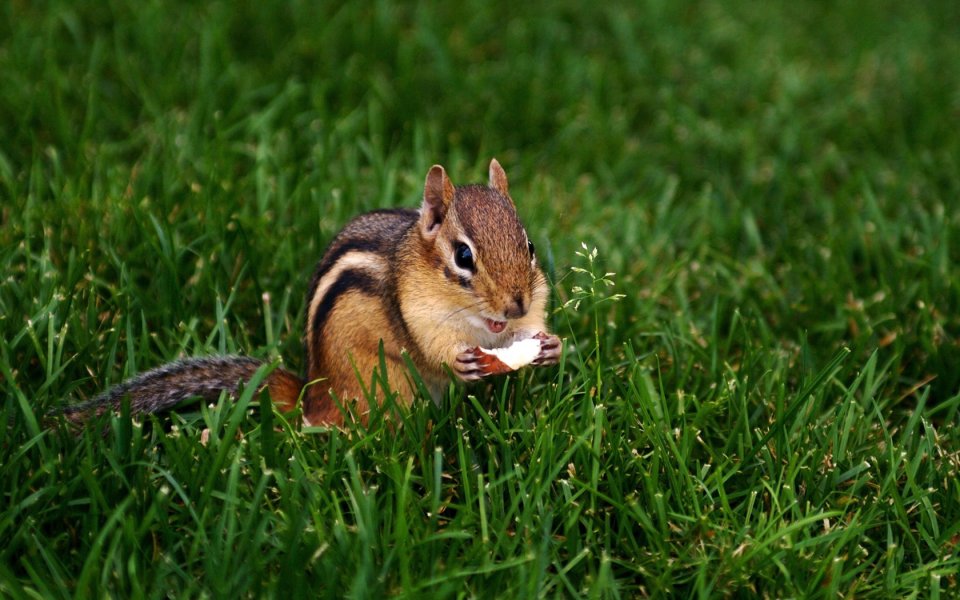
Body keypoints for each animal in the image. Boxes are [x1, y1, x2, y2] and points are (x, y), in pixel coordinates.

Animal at [63, 159, 561, 426]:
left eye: (530, 247)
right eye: (462, 256)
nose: (515, 304)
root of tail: (312, 394)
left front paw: (552, 345)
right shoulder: (418, 312)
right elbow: (431, 347)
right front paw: (458, 361)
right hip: (384, 384)